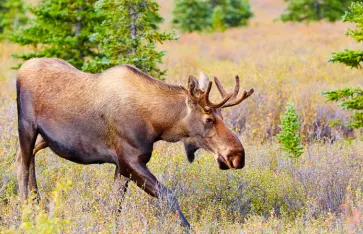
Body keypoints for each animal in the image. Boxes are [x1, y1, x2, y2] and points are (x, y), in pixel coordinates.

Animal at [15, 57, 255, 228]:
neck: (158, 124)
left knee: (27, 158)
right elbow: (169, 196)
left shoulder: (122, 166)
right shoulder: (129, 161)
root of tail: (21, 69)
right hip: (27, 126)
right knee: (23, 164)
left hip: (45, 139)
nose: (237, 155)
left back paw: (38, 203)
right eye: (208, 119)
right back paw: (26, 210)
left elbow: (115, 206)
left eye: (222, 116)